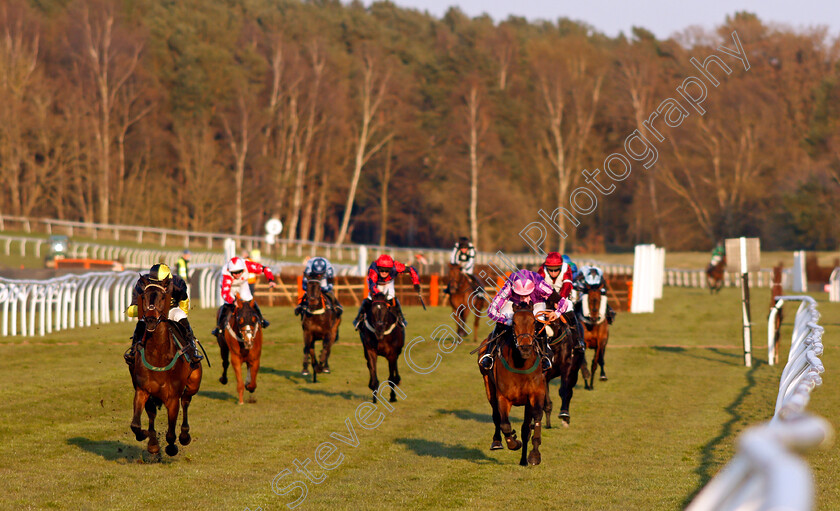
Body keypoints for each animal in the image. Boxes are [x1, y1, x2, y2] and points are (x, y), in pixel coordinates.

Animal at [127, 276, 201, 456]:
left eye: (162, 297)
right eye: (144, 296)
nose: (151, 319)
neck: (158, 355)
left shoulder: (172, 397)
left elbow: (170, 433)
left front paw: (172, 446)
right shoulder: (142, 390)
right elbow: (136, 424)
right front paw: (148, 438)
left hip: (193, 384)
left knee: (186, 401)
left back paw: (184, 435)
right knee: (152, 412)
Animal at [482, 304, 548, 468]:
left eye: (534, 322)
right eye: (514, 324)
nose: (525, 348)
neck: (521, 365)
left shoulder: (536, 394)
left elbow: (535, 420)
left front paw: (534, 455)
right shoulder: (503, 397)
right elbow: (505, 424)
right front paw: (514, 442)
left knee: (526, 428)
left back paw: (524, 460)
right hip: (489, 387)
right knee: (496, 416)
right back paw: (497, 442)